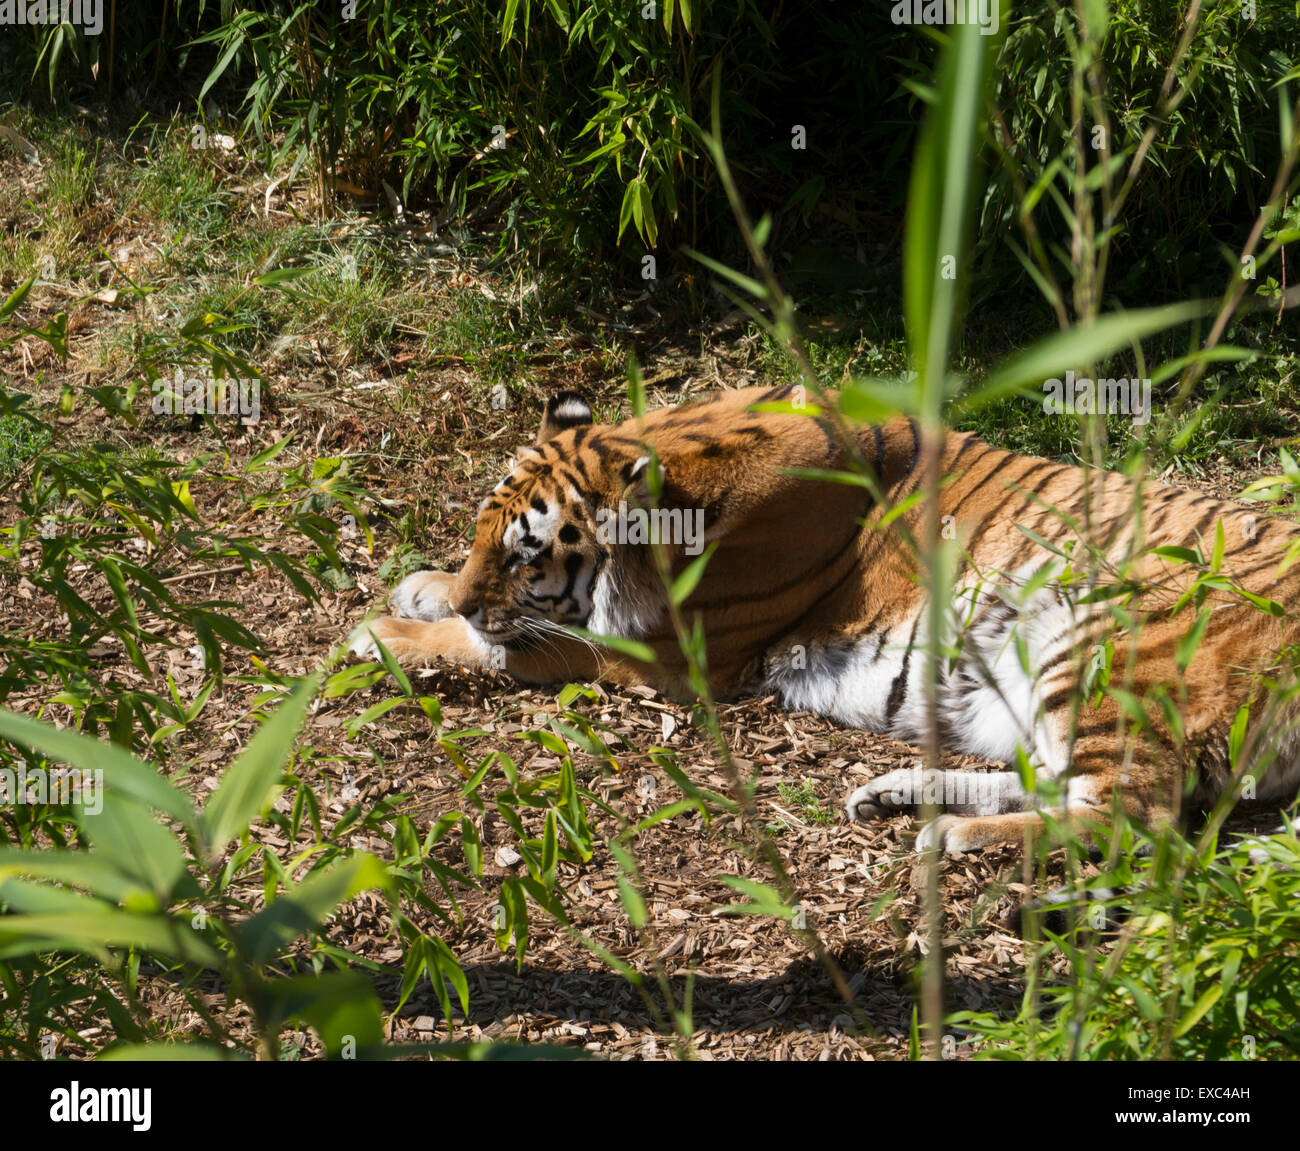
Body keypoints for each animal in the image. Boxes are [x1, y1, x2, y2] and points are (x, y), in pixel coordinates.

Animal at [345, 384, 1300, 853]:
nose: (471, 593)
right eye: (481, 533)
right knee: (1065, 782)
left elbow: (517, 646)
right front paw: (423, 585)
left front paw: (386, 632)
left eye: (525, 555)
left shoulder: (670, 657)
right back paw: (894, 794)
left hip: (1107, 644)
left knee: (1131, 814)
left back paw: (951, 836)